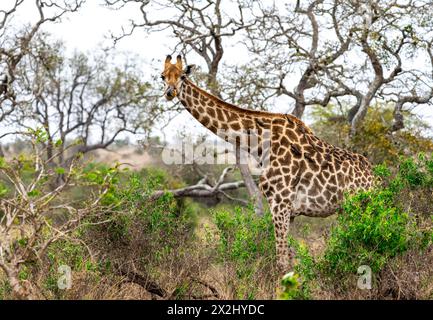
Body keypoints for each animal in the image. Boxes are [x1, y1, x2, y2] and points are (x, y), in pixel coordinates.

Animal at [160, 55, 372, 270]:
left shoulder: (280, 202)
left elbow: (281, 260)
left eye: (183, 76)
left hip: (359, 205)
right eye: (162, 76)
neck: (260, 143)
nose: (170, 92)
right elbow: (290, 256)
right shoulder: (289, 210)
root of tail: (375, 176)